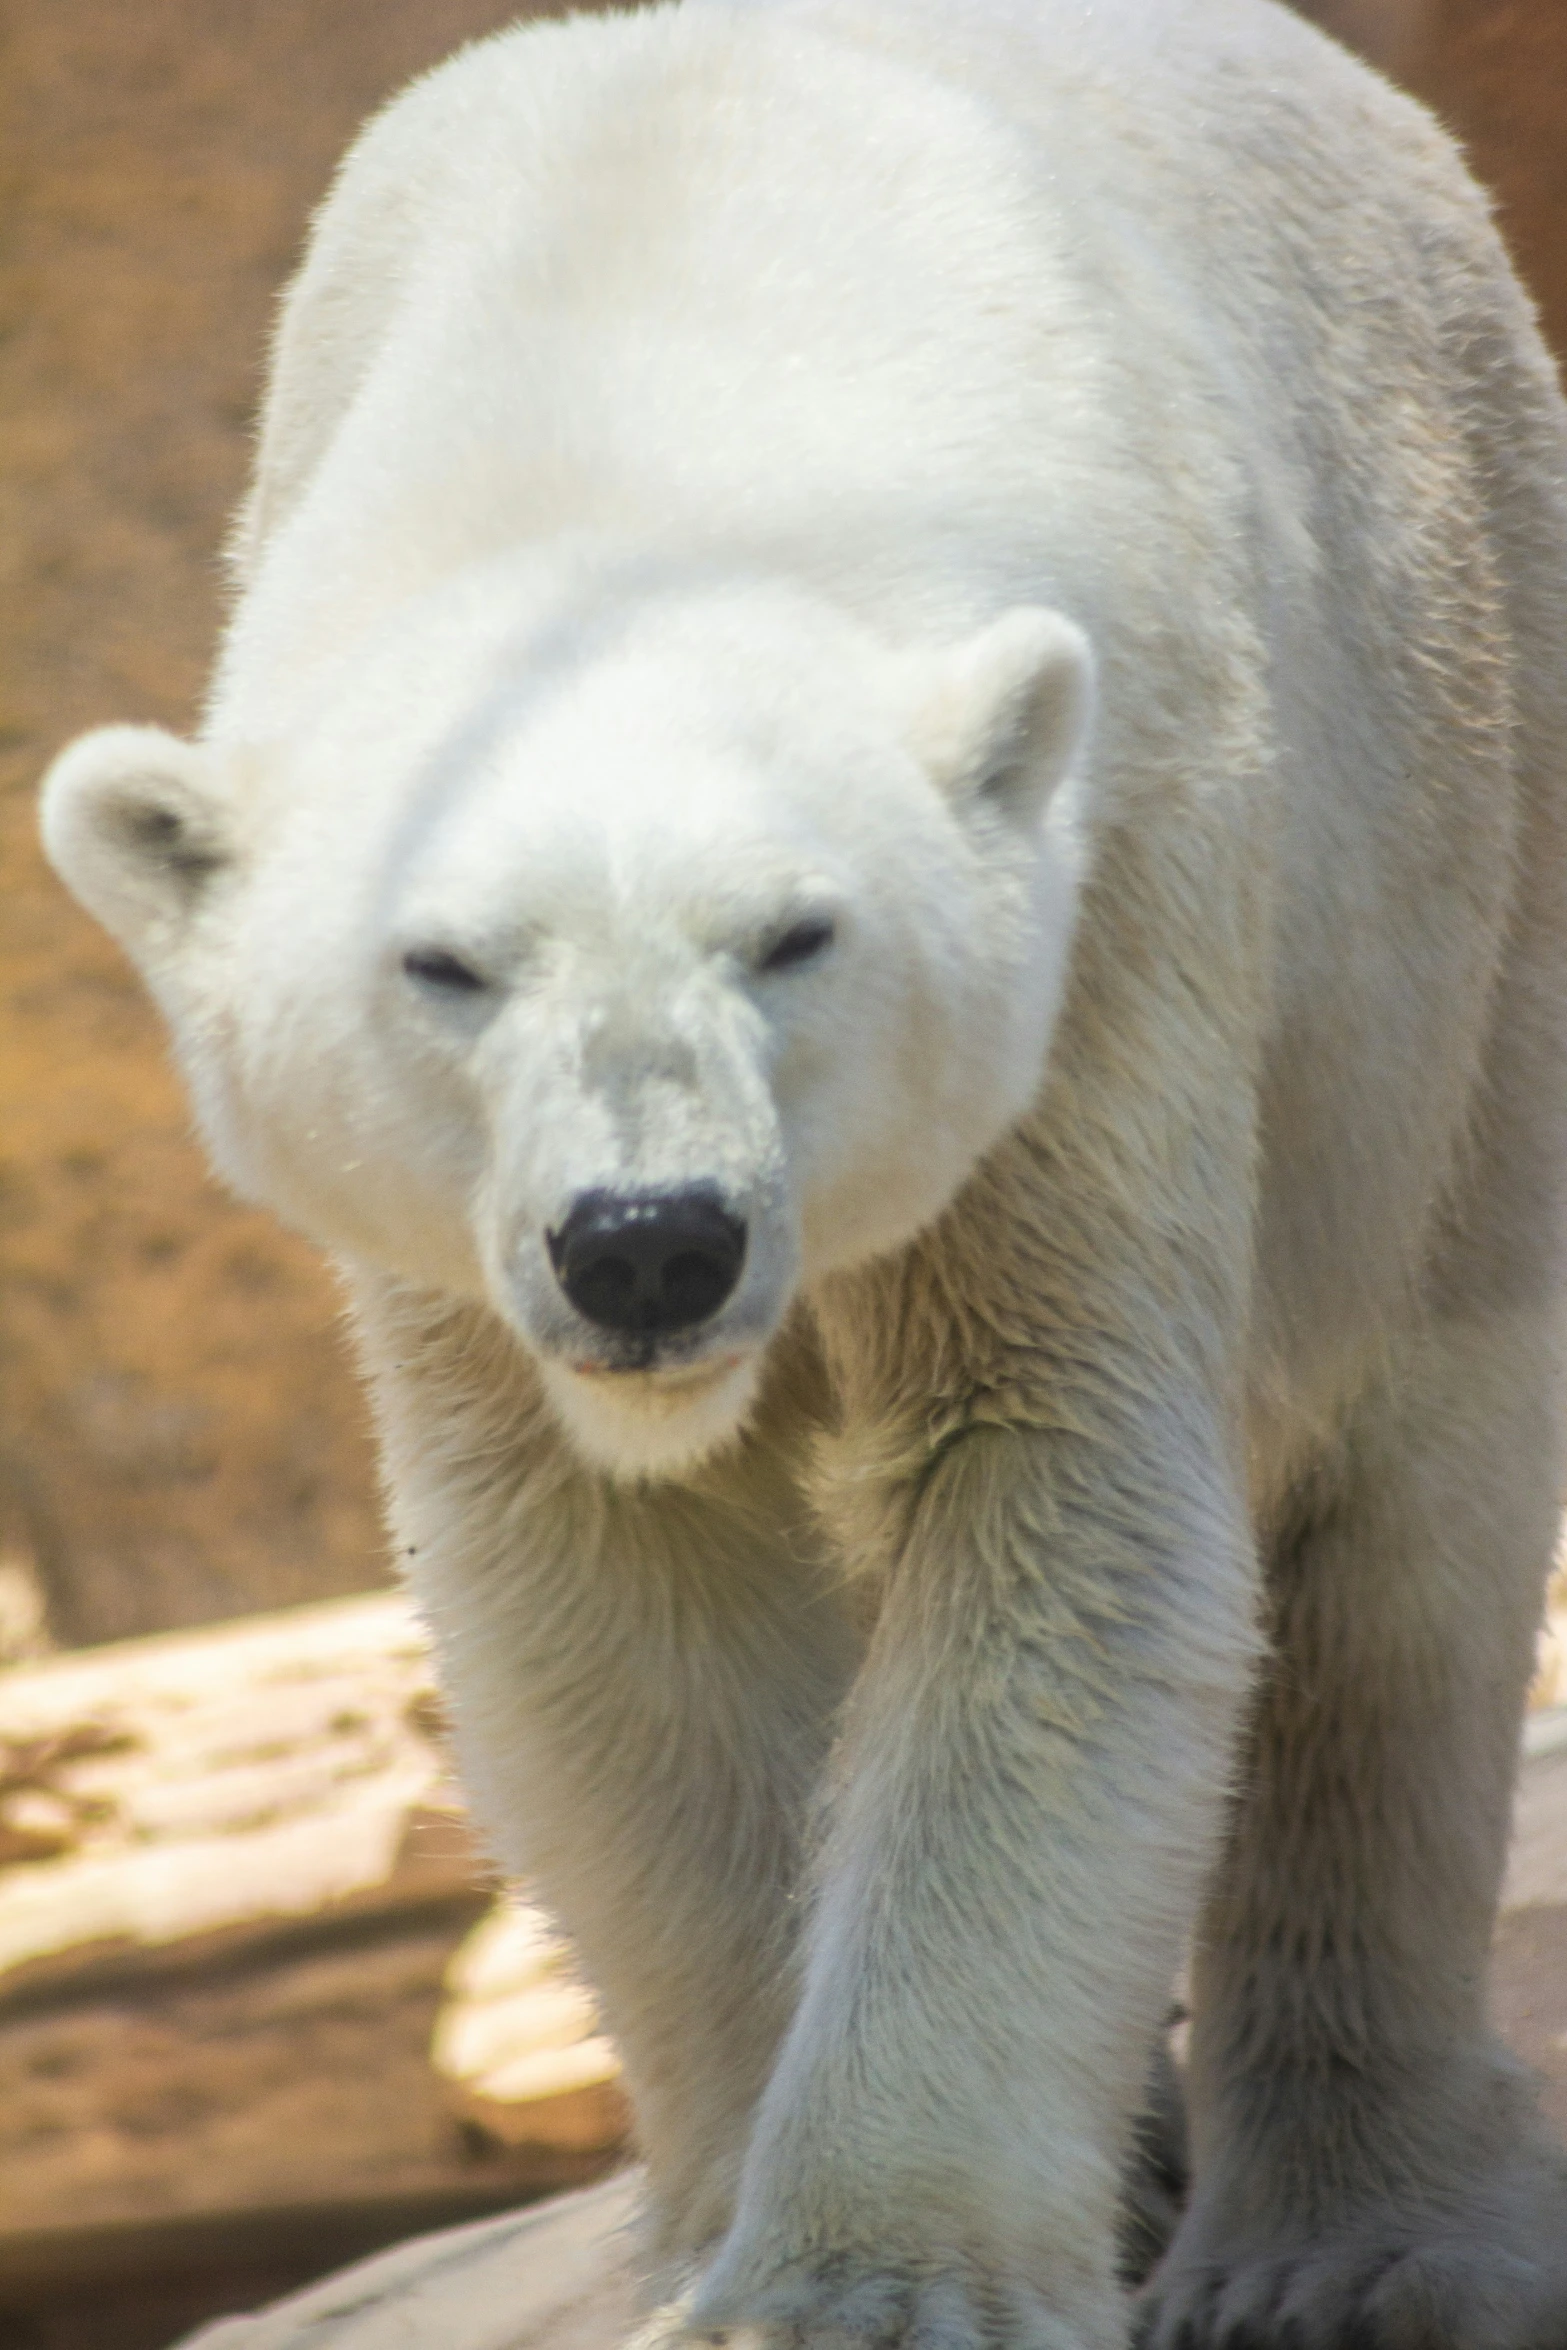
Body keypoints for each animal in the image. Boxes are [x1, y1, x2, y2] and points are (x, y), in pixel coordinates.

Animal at [36, 0, 1567, 2340]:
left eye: (796, 933)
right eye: (446, 964)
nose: (650, 1245)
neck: (649, 375)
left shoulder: (1119, 899)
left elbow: (1051, 1502)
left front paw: (870, 2276)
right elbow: (618, 1598)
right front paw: (727, 2236)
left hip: (1458, 834)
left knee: (1407, 1516)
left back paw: (1344, 2240)